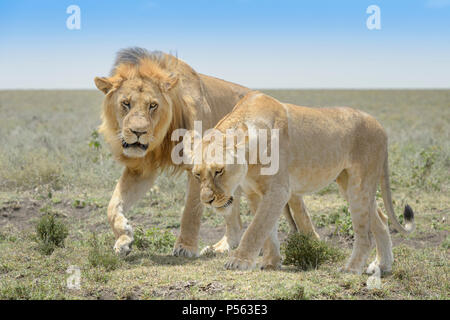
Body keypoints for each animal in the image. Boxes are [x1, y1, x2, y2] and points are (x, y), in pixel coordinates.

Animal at [93, 48, 312, 258]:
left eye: (152, 105)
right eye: (126, 103)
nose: (138, 132)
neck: (163, 138)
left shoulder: (197, 167)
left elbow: (190, 211)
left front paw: (185, 247)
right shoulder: (141, 169)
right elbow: (113, 205)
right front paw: (124, 239)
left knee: (299, 209)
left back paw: (311, 244)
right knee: (235, 222)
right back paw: (221, 248)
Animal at [192, 91, 416, 274]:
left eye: (219, 171)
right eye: (197, 175)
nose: (207, 200)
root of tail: (381, 127)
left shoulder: (278, 190)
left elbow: (256, 228)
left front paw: (239, 261)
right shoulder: (255, 193)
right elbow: (267, 230)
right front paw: (272, 263)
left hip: (359, 185)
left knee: (366, 234)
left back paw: (351, 269)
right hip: (350, 185)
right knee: (381, 220)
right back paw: (383, 265)